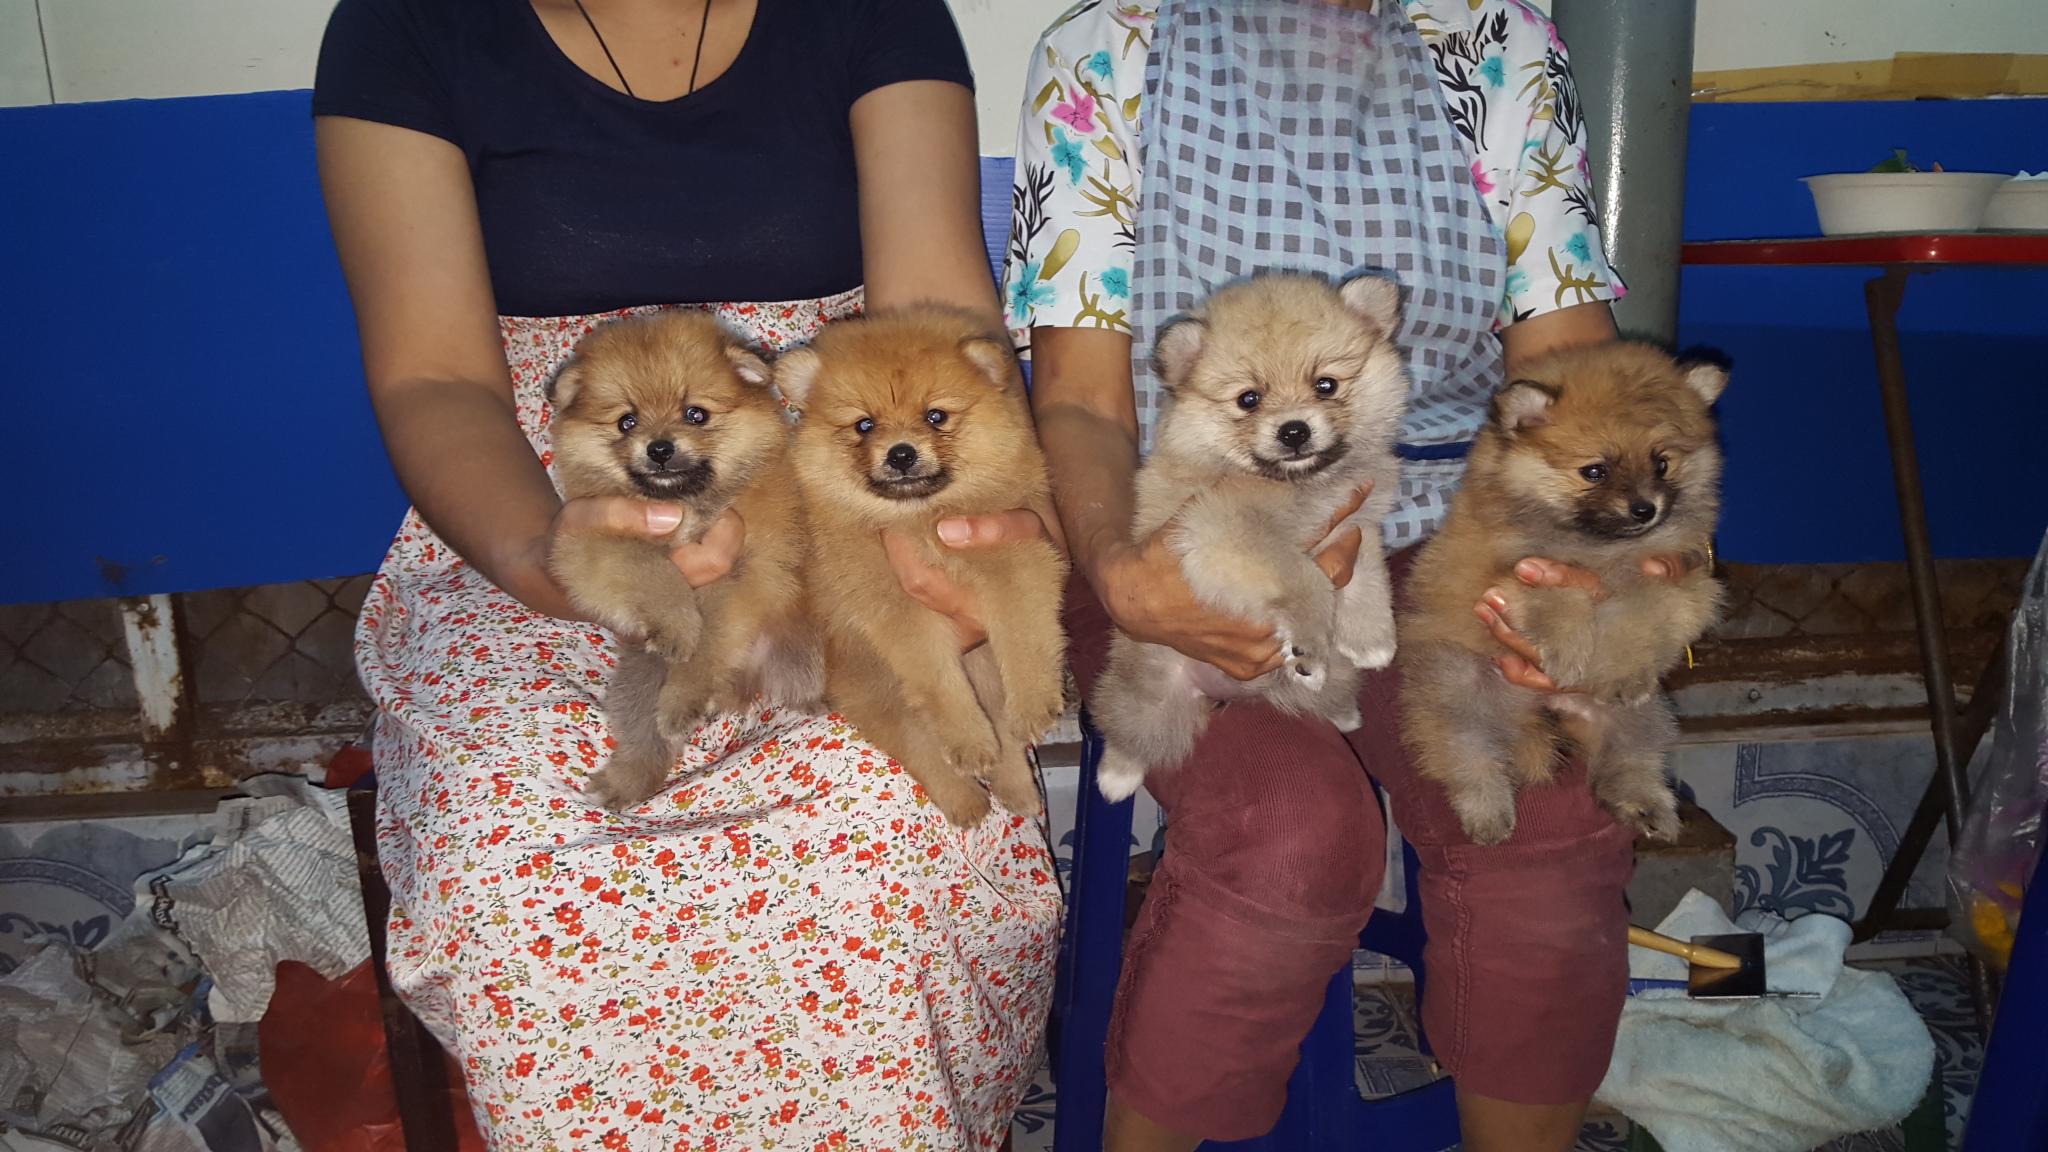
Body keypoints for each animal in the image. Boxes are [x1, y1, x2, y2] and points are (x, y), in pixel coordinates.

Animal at [547, 311, 819, 811]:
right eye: (626, 421)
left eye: (696, 414)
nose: (658, 447)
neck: (686, 505)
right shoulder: (588, 541)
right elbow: (650, 568)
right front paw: (675, 626)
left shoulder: (746, 573)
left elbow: (706, 646)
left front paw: (683, 695)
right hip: (642, 677)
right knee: (645, 739)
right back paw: (622, 784)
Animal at [776, 306, 1068, 829]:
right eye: (864, 425)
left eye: (936, 416)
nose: (901, 453)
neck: (921, 520)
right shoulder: (899, 614)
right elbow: (940, 683)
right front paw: (968, 740)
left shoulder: (1021, 561)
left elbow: (1025, 640)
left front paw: (1034, 705)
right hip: (883, 697)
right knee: (925, 752)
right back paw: (968, 798)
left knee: (1005, 741)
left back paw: (1018, 791)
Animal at [1090, 273, 1408, 802]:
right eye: (1248, 399)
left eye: (1326, 385)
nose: (1294, 431)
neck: (1301, 485)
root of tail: (1228, 693)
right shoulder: (1219, 531)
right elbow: (1304, 577)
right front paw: (1308, 641)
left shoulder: (1355, 523)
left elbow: (1366, 575)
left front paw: (1372, 639)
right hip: (1147, 695)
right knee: (1132, 730)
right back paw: (1117, 775)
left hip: (1334, 684)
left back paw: (1346, 715)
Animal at [1398, 342, 1728, 845]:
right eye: (1595, 471)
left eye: (1662, 463)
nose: (1645, 509)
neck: (1601, 550)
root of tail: (1535, 712)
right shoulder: (1509, 570)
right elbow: (1558, 597)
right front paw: (1565, 653)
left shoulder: (1680, 577)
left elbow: (1645, 611)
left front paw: (1624, 672)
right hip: (1457, 685)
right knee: (1468, 755)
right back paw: (1487, 813)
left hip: (1642, 718)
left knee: (1630, 761)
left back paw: (1646, 806)